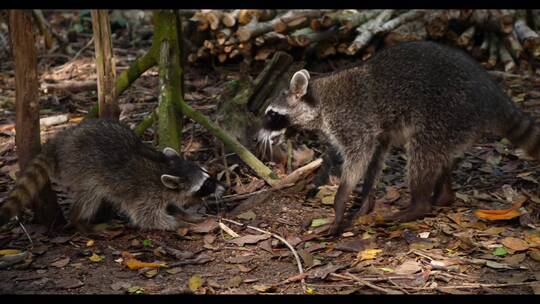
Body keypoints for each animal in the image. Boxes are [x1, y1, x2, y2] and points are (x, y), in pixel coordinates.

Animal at [0, 119, 225, 230]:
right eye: (206, 185)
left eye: (208, 175)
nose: (223, 187)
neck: (166, 168)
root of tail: (58, 142)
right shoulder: (146, 194)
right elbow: (146, 217)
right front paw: (176, 223)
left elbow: (172, 205)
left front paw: (183, 213)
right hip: (81, 169)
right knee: (89, 197)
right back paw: (78, 221)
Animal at [258, 41, 540, 235]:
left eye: (271, 115)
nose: (258, 136)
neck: (318, 99)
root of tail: (490, 92)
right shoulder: (378, 131)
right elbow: (375, 158)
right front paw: (364, 202)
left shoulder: (351, 119)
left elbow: (360, 155)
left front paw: (340, 203)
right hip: (455, 123)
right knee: (439, 155)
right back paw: (443, 195)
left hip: (446, 110)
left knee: (422, 152)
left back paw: (419, 205)